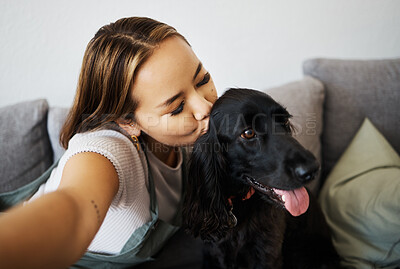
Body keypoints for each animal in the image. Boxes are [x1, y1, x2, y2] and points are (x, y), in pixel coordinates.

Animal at [184, 88, 340, 268]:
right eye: (248, 133)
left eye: (284, 120)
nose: (312, 169)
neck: (241, 206)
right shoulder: (215, 254)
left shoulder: (267, 254)